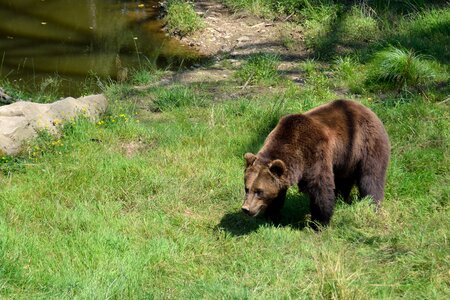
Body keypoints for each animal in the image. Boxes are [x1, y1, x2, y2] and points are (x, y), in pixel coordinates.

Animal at [243, 99, 390, 226]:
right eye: (247, 188)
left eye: (259, 191)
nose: (246, 209)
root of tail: (368, 109)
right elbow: (278, 193)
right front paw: (271, 216)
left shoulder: (315, 154)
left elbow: (320, 188)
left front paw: (319, 222)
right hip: (346, 158)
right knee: (343, 179)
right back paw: (341, 198)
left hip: (366, 145)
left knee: (370, 178)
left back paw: (372, 204)